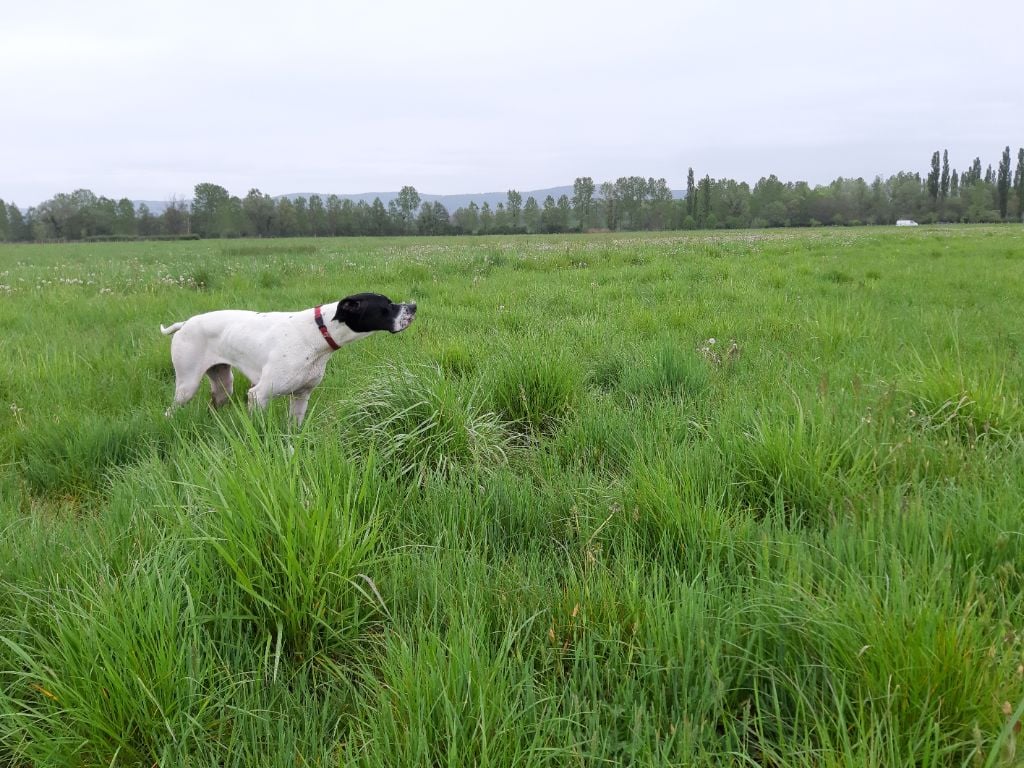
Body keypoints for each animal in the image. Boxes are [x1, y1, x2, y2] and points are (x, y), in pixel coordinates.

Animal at [159, 294, 415, 428]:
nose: (413, 306)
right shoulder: (258, 395)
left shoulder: (301, 396)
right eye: (386, 305)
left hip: (223, 387)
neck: (317, 333)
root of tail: (184, 323)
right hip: (187, 386)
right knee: (170, 411)